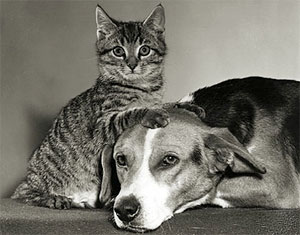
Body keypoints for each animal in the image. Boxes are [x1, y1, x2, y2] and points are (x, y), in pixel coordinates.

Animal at [11, 4, 166, 209]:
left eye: (145, 50)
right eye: (118, 51)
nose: (132, 64)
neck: (142, 88)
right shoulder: (101, 125)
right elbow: (128, 114)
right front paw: (151, 113)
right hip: (38, 181)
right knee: (23, 193)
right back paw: (54, 198)